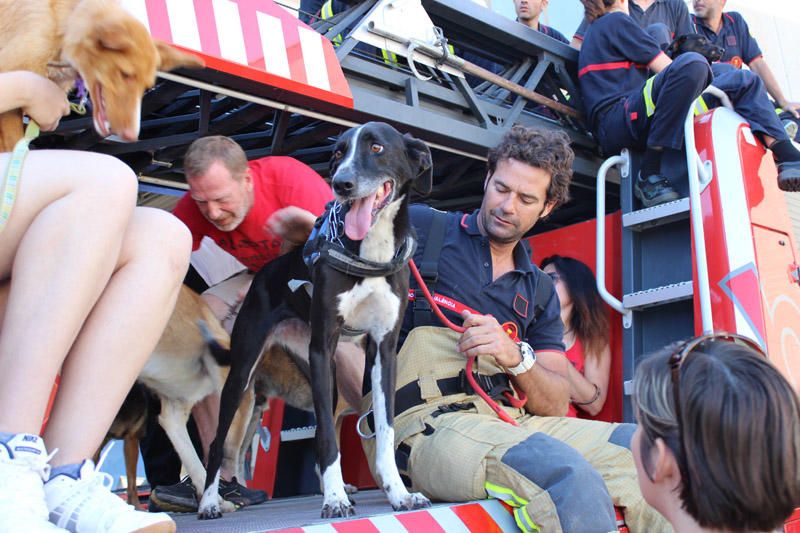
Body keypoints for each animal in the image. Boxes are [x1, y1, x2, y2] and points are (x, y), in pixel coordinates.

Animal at [198, 121, 438, 520]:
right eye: (338, 152)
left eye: (376, 147)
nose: (341, 184)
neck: (370, 253)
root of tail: (263, 273)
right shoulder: (323, 347)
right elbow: (325, 433)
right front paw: (334, 498)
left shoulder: (383, 350)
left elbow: (385, 429)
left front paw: (399, 493)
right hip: (245, 372)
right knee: (218, 442)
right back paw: (209, 502)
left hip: (326, 374)